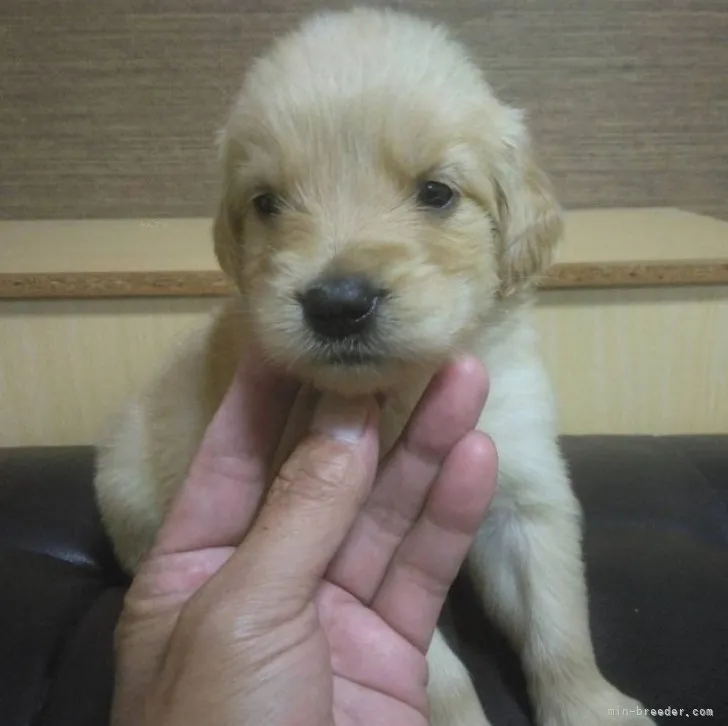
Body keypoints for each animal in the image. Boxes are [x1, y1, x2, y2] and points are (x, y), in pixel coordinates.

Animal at [95, 7, 656, 726]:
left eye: (437, 193)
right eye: (267, 202)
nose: (337, 305)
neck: (403, 390)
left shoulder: (524, 488)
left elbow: (558, 623)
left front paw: (592, 708)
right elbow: (435, 673)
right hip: (126, 484)